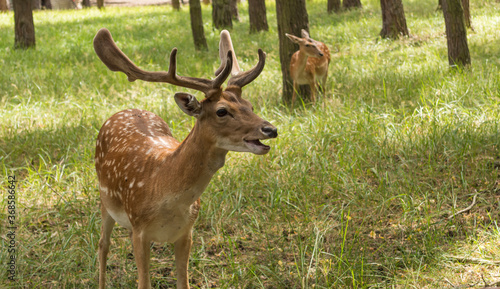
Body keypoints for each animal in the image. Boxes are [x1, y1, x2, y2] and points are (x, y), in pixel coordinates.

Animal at [94, 27, 278, 288]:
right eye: (222, 111)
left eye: (249, 105)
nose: (270, 129)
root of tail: (126, 109)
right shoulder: (140, 232)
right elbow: (144, 283)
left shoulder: (186, 232)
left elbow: (184, 281)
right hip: (105, 201)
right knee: (103, 245)